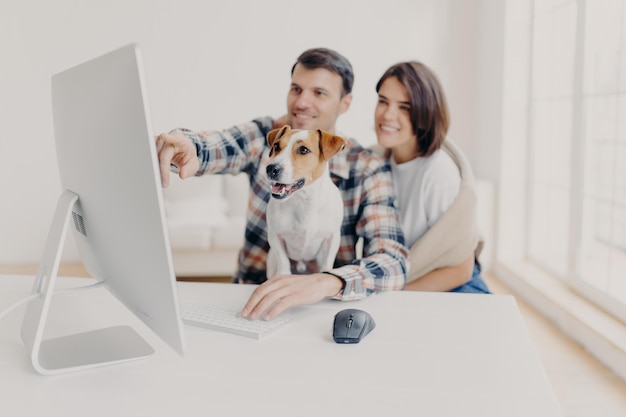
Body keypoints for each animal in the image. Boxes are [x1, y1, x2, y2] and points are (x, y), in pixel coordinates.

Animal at [264, 125, 346, 278]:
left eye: (303, 150)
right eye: (276, 146)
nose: (271, 169)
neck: (304, 200)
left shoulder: (332, 237)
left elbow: (327, 262)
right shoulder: (275, 236)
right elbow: (283, 260)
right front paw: (283, 276)